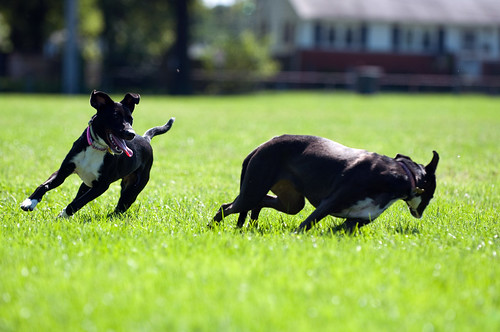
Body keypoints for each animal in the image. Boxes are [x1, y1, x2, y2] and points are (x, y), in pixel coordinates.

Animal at [21, 90, 176, 218]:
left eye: (130, 119)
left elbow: (78, 203)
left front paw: (64, 214)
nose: (131, 133)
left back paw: (111, 217)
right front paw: (29, 202)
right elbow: (44, 185)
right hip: (86, 184)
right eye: (115, 117)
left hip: (132, 188)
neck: (97, 148)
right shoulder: (63, 171)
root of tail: (145, 139)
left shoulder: (102, 185)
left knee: (121, 206)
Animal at [213, 134, 440, 232]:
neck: (402, 174)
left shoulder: (355, 221)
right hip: (253, 189)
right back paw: (210, 228)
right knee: (227, 207)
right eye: (432, 195)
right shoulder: (328, 204)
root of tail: (261, 145)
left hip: (291, 203)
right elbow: (304, 226)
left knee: (259, 203)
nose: (421, 213)